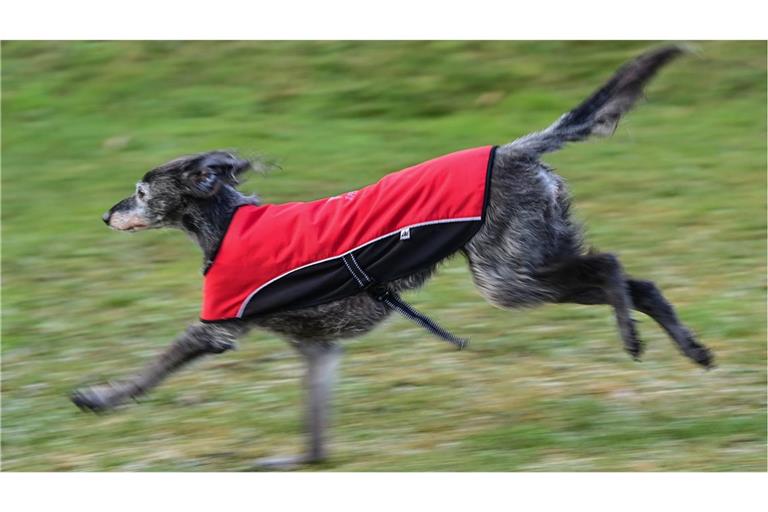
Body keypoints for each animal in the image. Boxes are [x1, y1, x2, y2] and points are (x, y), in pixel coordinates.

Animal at [72, 48, 712, 468]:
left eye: (142, 191)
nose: (103, 214)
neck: (228, 222)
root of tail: (513, 149)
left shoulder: (216, 329)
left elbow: (152, 369)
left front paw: (100, 398)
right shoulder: (317, 350)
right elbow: (314, 432)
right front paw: (299, 462)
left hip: (507, 277)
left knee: (611, 268)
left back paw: (632, 337)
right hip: (528, 261)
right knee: (642, 282)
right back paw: (692, 349)